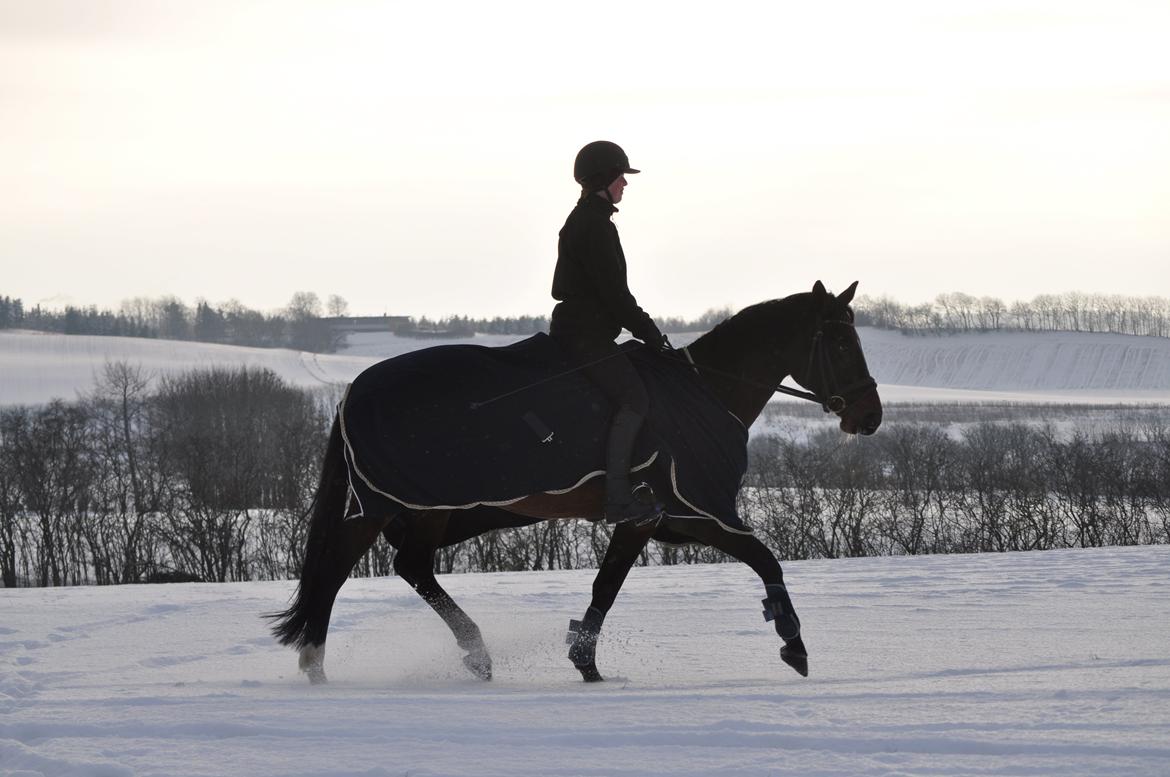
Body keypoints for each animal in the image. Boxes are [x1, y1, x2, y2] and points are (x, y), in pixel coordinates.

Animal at [269, 282, 879, 683]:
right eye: (841, 344)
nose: (869, 416)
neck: (704, 390)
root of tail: (354, 390)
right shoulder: (693, 512)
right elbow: (764, 557)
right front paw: (793, 643)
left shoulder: (643, 521)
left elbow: (605, 587)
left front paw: (586, 664)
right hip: (381, 506)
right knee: (335, 572)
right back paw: (317, 670)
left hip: (424, 509)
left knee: (410, 566)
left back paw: (475, 655)